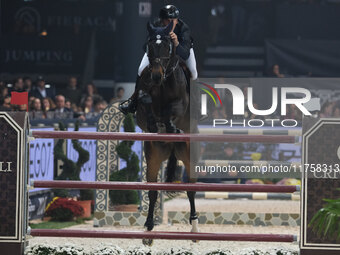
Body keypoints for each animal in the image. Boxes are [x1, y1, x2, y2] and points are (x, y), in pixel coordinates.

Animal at [135, 20, 199, 244]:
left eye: (168, 47)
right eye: (149, 46)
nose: (155, 76)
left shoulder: (180, 106)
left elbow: (171, 113)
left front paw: (171, 127)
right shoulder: (143, 105)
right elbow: (145, 101)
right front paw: (155, 124)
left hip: (188, 157)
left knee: (191, 190)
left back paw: (195, 229)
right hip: (153, 158)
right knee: (153, 191)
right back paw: (148, 229)